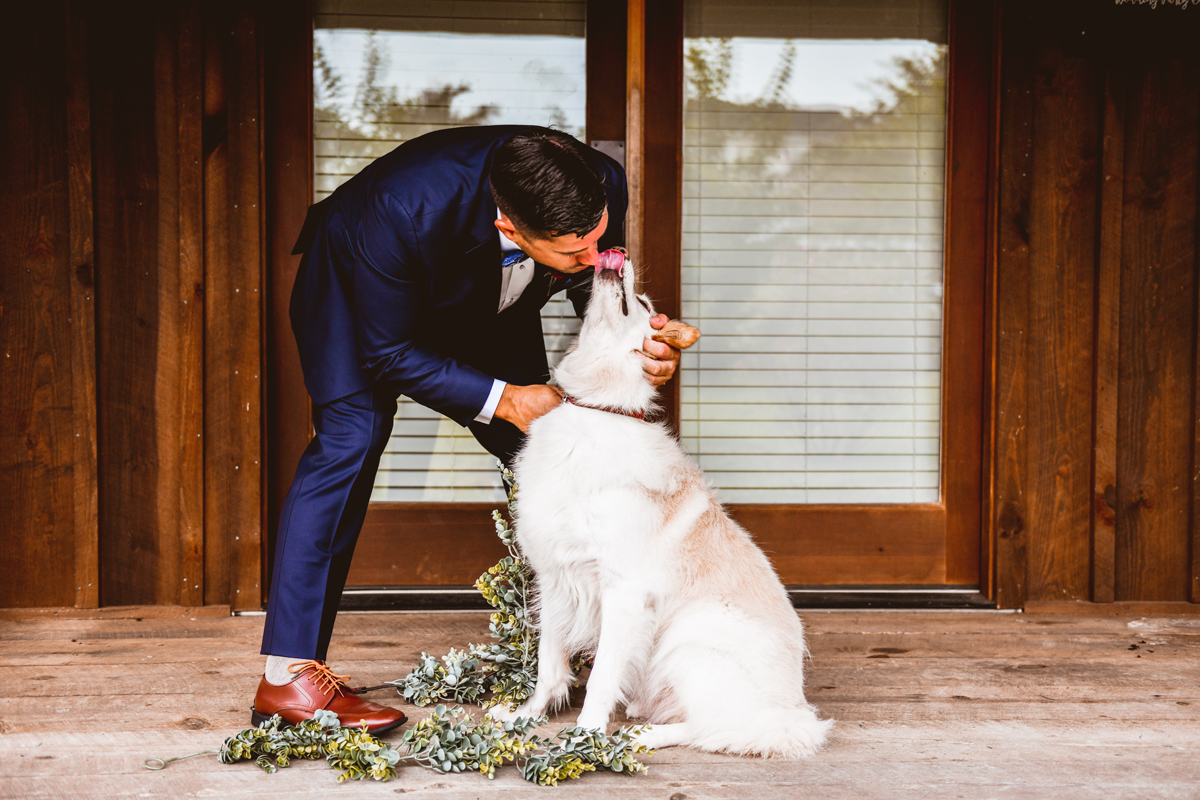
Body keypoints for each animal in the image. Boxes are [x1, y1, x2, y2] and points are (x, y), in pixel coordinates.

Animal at [489, 250, 835, 758]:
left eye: (646, 303)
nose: (619, 254)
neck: (597, 408)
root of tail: (791, 712)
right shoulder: (555, 578)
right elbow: (549, 665)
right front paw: (527, 716)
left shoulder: (622, 591)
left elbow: (601, 677)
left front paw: (585, 739)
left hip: (692, 638)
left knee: (712, 727)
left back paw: (641, 735)